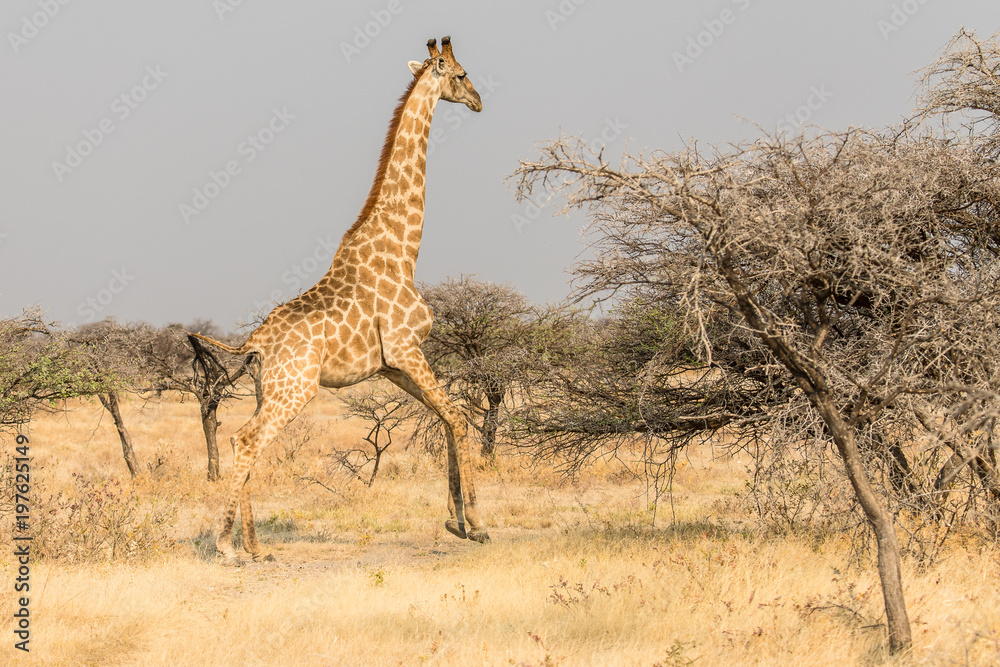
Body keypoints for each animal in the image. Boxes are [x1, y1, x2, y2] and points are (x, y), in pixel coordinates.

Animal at [191, 36, 489, 561]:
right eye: (460, 74)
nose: (479, 101)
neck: (403, 249)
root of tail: (254, 343)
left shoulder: (392, 364)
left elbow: (447, 418)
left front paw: (456, 523)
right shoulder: (407, 348)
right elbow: (457, 416)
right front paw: (474, 523)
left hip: (268, 388)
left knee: (243, 440)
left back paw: (256, 548)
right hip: (295, 389)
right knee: (247, 441)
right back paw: (228, 546)